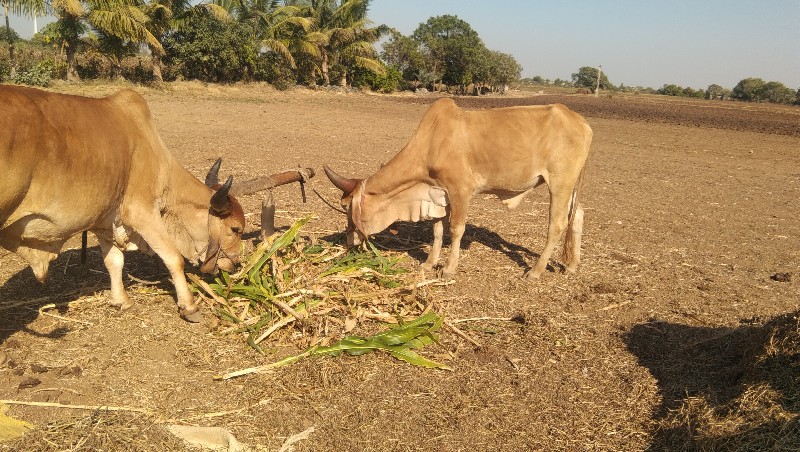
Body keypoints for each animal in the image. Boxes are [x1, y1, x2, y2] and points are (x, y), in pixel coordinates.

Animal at [0, 85, 284, 322]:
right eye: (235, 229)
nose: (235, 263)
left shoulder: (106, 221)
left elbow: (114, 262)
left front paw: (121, 301)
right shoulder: (142, 212)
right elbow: (174, 258)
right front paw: (189, 306)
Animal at [324, 98, 592, 278]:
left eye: (346, 207)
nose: (349, 242)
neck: (431, 142)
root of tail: (581, 121)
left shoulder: (460, 190)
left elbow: (456, 230)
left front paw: (449, 268)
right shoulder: (439, 194)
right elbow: (436, 230)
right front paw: (429, 263)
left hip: (559, 182)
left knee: (557, 224)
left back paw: (535, 271)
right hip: (569, 187)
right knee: (577, 215)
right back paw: (571, 265)